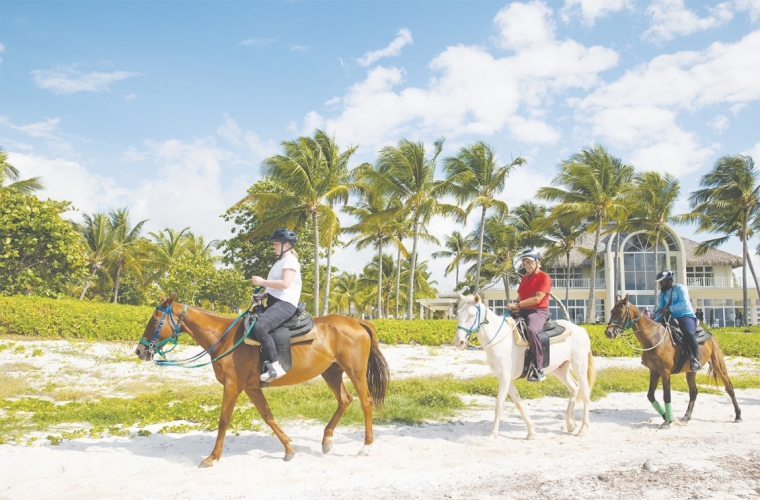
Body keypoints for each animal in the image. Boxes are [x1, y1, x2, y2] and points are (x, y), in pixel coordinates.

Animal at [133, 294, 388, 466]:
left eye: (155, 320)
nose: (139, 351)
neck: (224, 338)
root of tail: (357, 322)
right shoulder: (252, 388)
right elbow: (268, 416)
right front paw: (288, 449)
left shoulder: (233, 387)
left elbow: (223, 420)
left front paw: (212, 457)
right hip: (331, 372)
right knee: (344, 400)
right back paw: (326, 440)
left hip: (355, 372)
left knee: (365, 402)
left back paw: (366, 447)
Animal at [454, 292, 596, 438]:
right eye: (457, 313)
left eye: (472, 315)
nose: (459, 341)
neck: (500, 339)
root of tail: (581, 330)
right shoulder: (506, 378)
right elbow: (519, 404)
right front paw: (531, 431)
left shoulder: (505, 378)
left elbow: (499, 406)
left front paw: (493, 434)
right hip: (560, 369)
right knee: (574, 388)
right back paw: (570, 423)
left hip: (579, 366)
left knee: (585, 391)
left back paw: (583, 428)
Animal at [604, 294, 744, 428]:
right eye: (611, 311)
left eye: (620, 311)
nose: (608, 332)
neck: (654, 338)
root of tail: (710, 335)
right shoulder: (654, 372)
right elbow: (650, 395)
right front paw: (667, 417)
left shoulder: (665, 372)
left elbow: (667, 395)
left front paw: (667, 421)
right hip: (691, 371)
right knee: (694, 392)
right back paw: (686, 416)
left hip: (718, 365)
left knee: (729, 387)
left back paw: (738, 415)